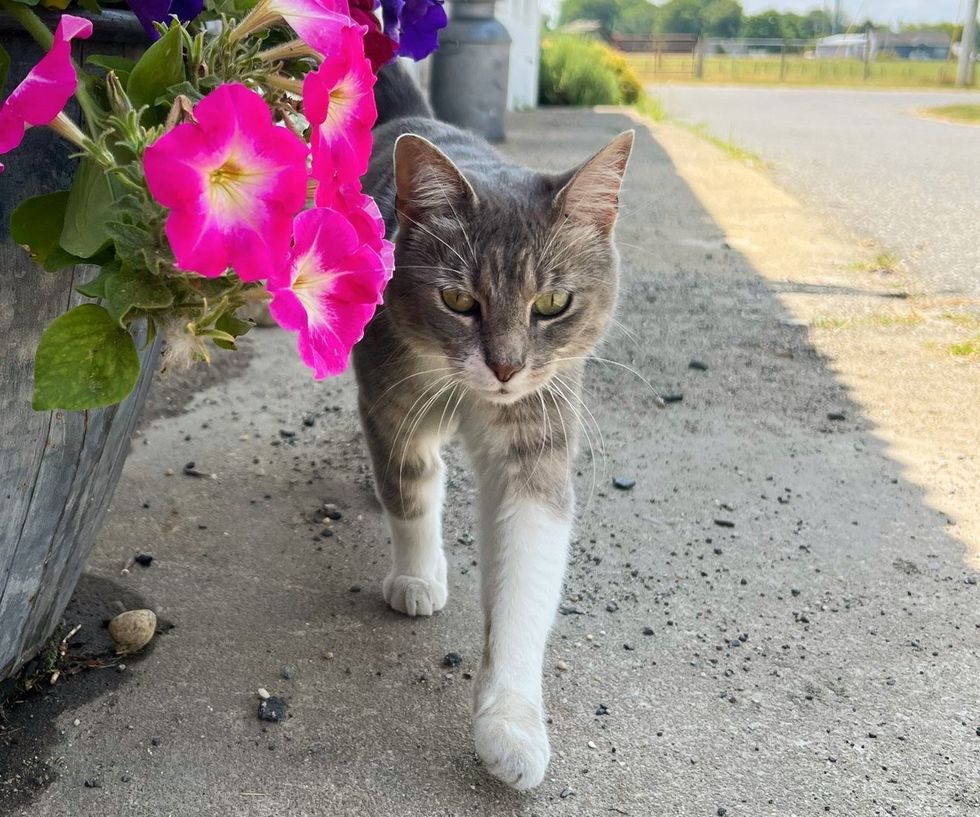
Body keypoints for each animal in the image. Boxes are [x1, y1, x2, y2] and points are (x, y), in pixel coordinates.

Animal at [356, 65, 632, 792]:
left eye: (553, 303)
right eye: (458, 299)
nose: (505, 367)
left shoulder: (535, 438)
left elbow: (523, 579)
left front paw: (510, 725)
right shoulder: (391, 400)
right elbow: (411, 490)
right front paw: (418, 575)